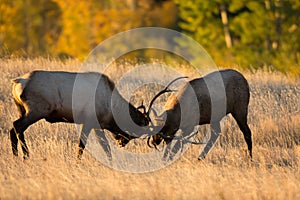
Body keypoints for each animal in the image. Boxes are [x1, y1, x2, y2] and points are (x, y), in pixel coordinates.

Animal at [9, 70, 150, 159]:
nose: (121, 142)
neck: (110, 108)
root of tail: (18, 82)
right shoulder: (88, 122)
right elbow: (82, 146)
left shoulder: (96, 125)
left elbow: (105, 147)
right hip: (36, 111)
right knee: (17, 126)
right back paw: (26, 156)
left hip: (22, 110)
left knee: (13, 129)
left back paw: (16, 157)